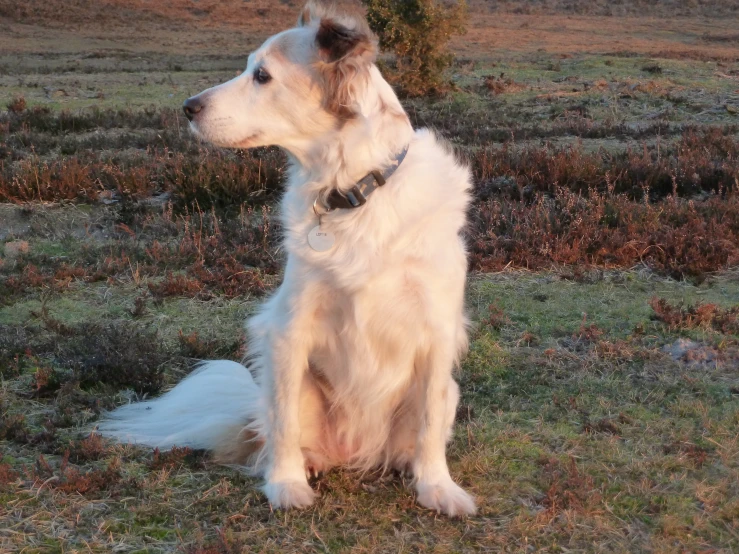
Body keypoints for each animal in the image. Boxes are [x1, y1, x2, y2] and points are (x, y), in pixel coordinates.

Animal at [98, 2, 476, 516]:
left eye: (262, 75)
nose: (188, 107)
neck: (352, 196)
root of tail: (354, 453)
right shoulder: (288, 329)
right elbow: (283, 424)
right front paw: (286, 484)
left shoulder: (437, 332)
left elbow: (431, 422)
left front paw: (438, 486)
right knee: (277, 427)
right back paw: (307, 464)